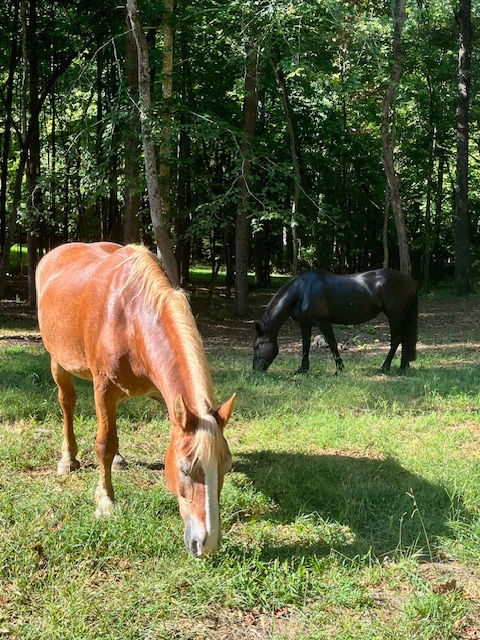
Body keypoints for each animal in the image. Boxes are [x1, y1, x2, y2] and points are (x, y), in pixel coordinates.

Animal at [36, 242, 235, 558]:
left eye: (226, 467)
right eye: (185, 469)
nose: (208, 544)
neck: (129, 320)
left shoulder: (166, 397)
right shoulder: (103, 388)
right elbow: (104, 444)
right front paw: (105, 502)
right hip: (58, 361)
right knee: (67, 403)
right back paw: (68, 459)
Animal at [253, 268, 418, 375]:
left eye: (257, 346)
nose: (255, 371)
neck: (302, 291)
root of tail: (411, 282)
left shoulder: (323, 322)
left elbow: (332, 344)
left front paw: (339, 370)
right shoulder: (305, 324)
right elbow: (305, 346)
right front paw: (302, 369)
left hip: (394, 316)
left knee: (396, 340)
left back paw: (385, 367)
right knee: (404, 339)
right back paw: (403, 367)